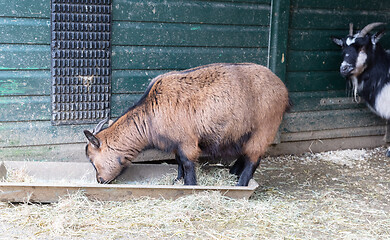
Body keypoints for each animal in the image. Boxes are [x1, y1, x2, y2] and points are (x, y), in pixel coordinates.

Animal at [84, 62, 290, 187]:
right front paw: (177, 180)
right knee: (246, 153)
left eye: (93, 161)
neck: (150, 113)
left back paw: (241, 184)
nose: (100, 180)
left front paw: (190, 185)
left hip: (265, 127)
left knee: (254, 158)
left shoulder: (187, 141)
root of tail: (283, 88)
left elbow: (188, 163)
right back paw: (233, 172)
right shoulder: (177, 143)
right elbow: (179, 162)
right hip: (245, 132)